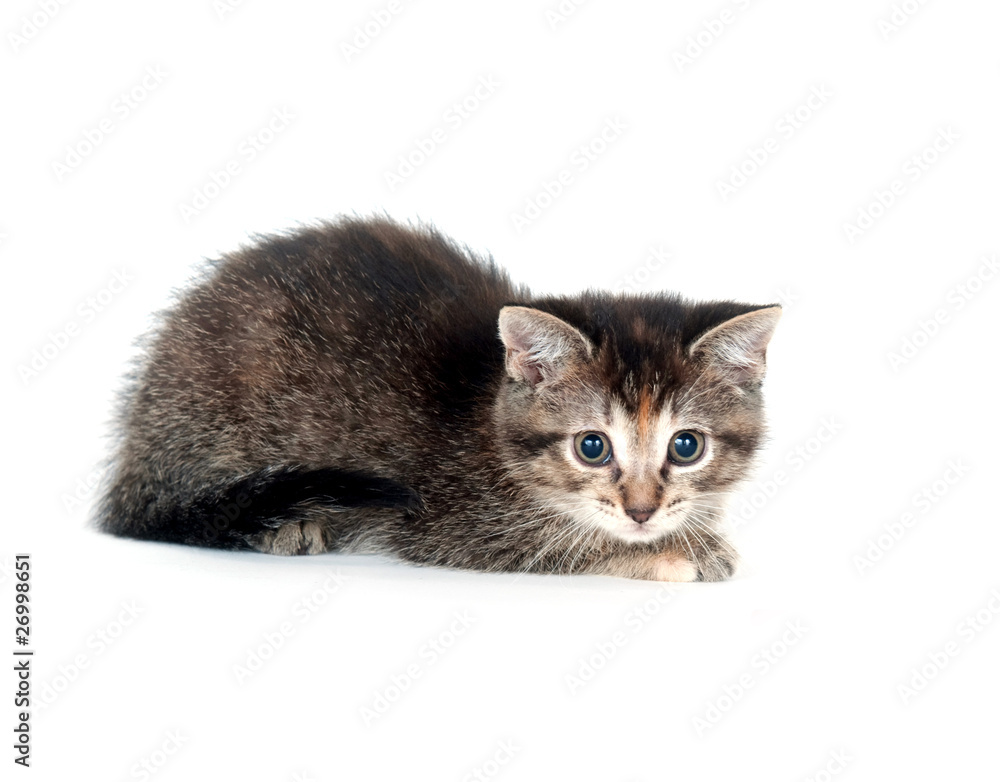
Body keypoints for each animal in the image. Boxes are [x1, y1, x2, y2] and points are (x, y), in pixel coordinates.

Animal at [97, 214, 780, 580]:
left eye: (686, 447)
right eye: (592, 447)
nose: (641, 511)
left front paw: (694, 534)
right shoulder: (455, 527)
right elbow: (563, 548)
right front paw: (674, 554)